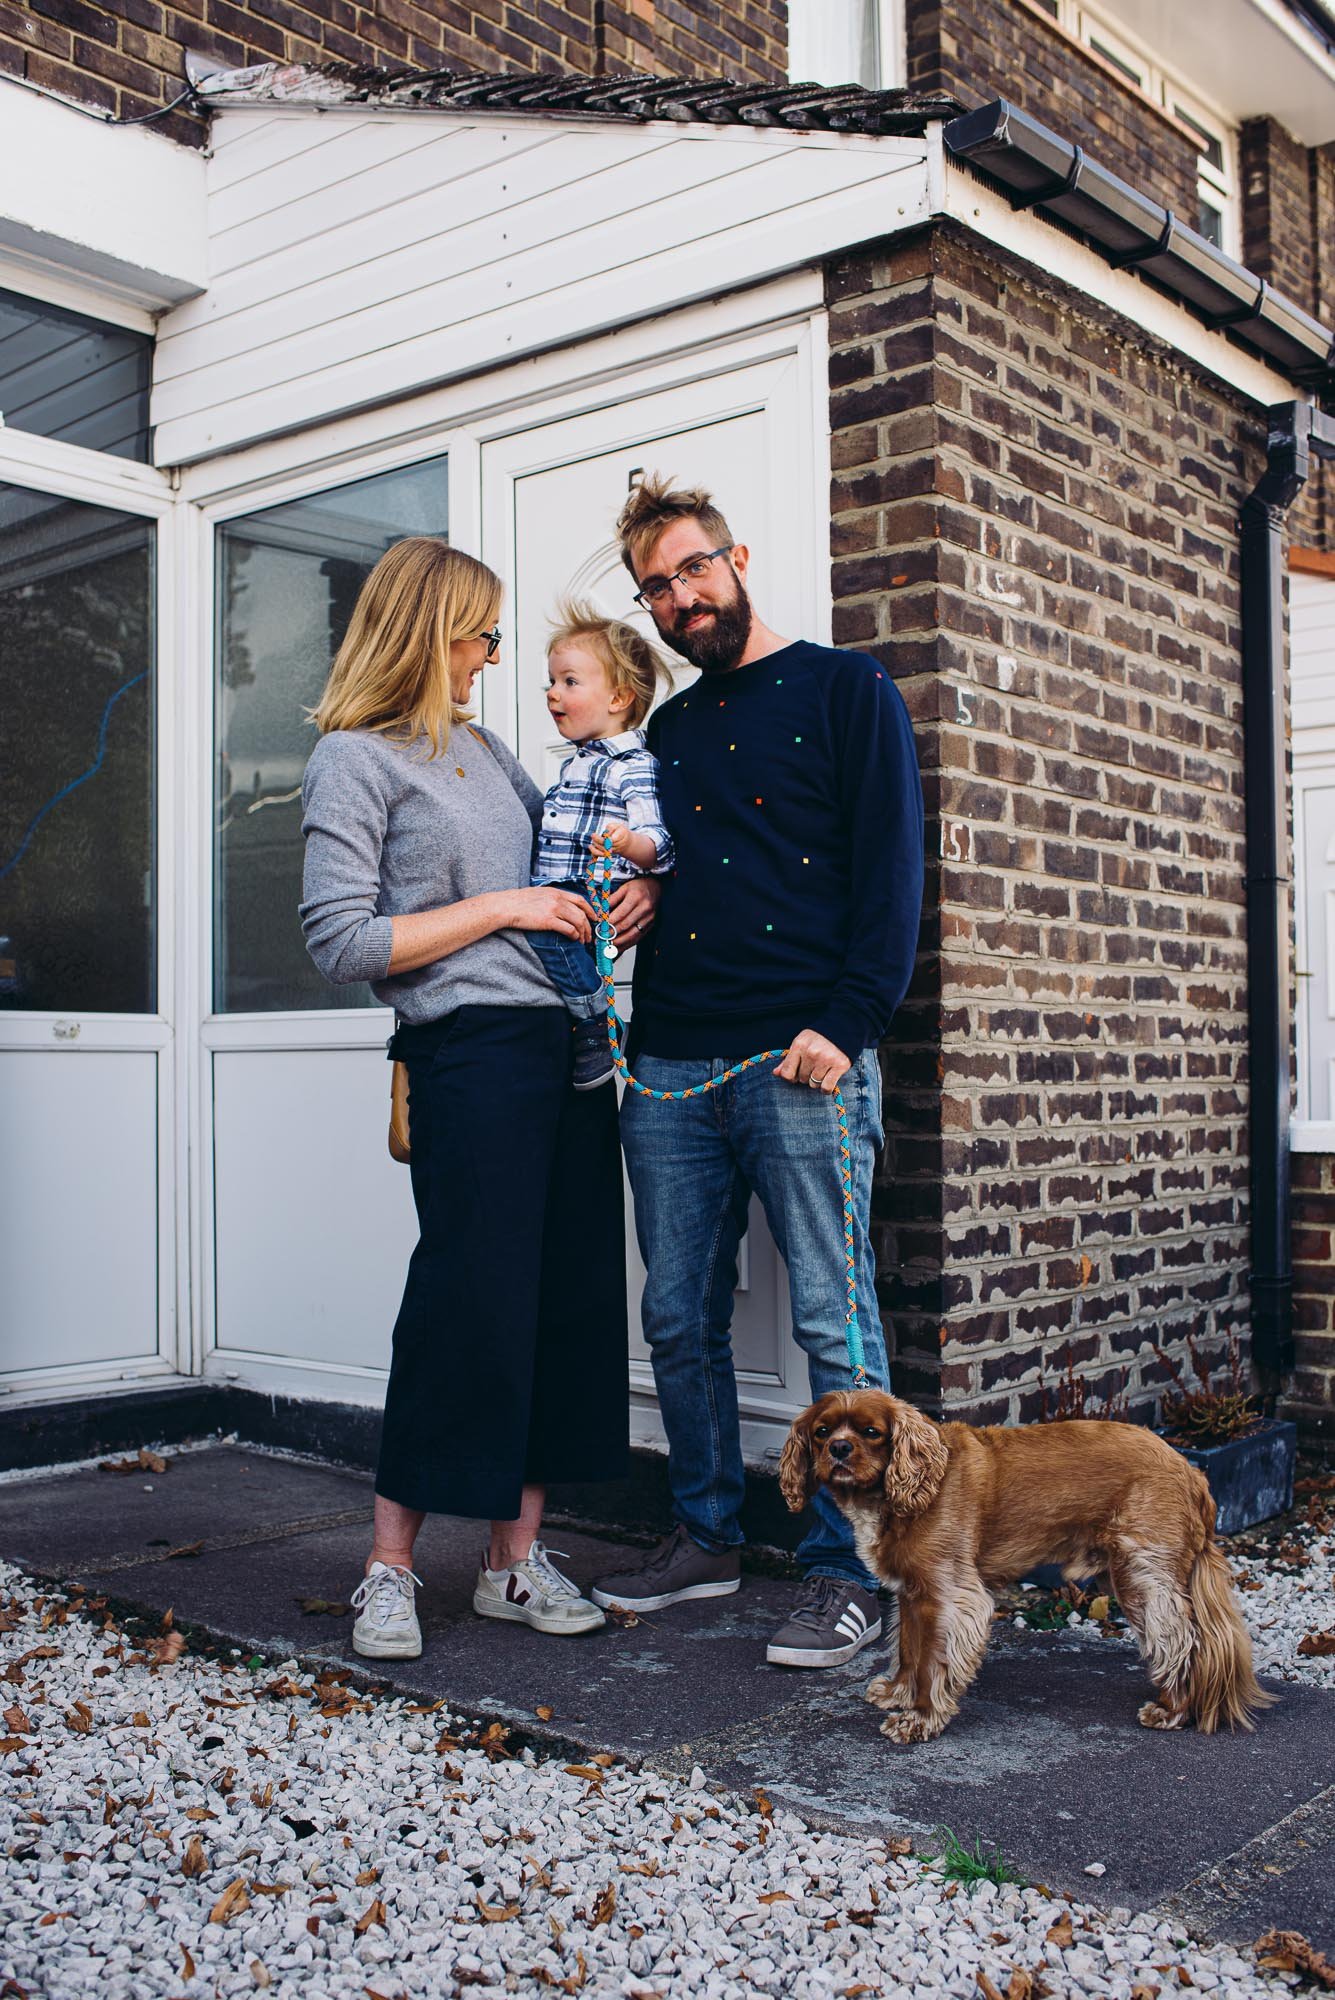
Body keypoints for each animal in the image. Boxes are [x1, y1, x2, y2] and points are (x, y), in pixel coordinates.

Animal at [783, 1400, 1271, 1744]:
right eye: (822, 1431)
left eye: (872, 1432)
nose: (839, 1448)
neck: (914, 1485)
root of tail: (1192, 1472)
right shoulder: (911, 1593)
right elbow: (907, 1650)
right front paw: (899, 1694)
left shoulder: (949, 1596)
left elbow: (931, 1662)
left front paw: (918, 1719)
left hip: (1141, 1574)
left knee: (1183, 1641)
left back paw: (1172, 1710)